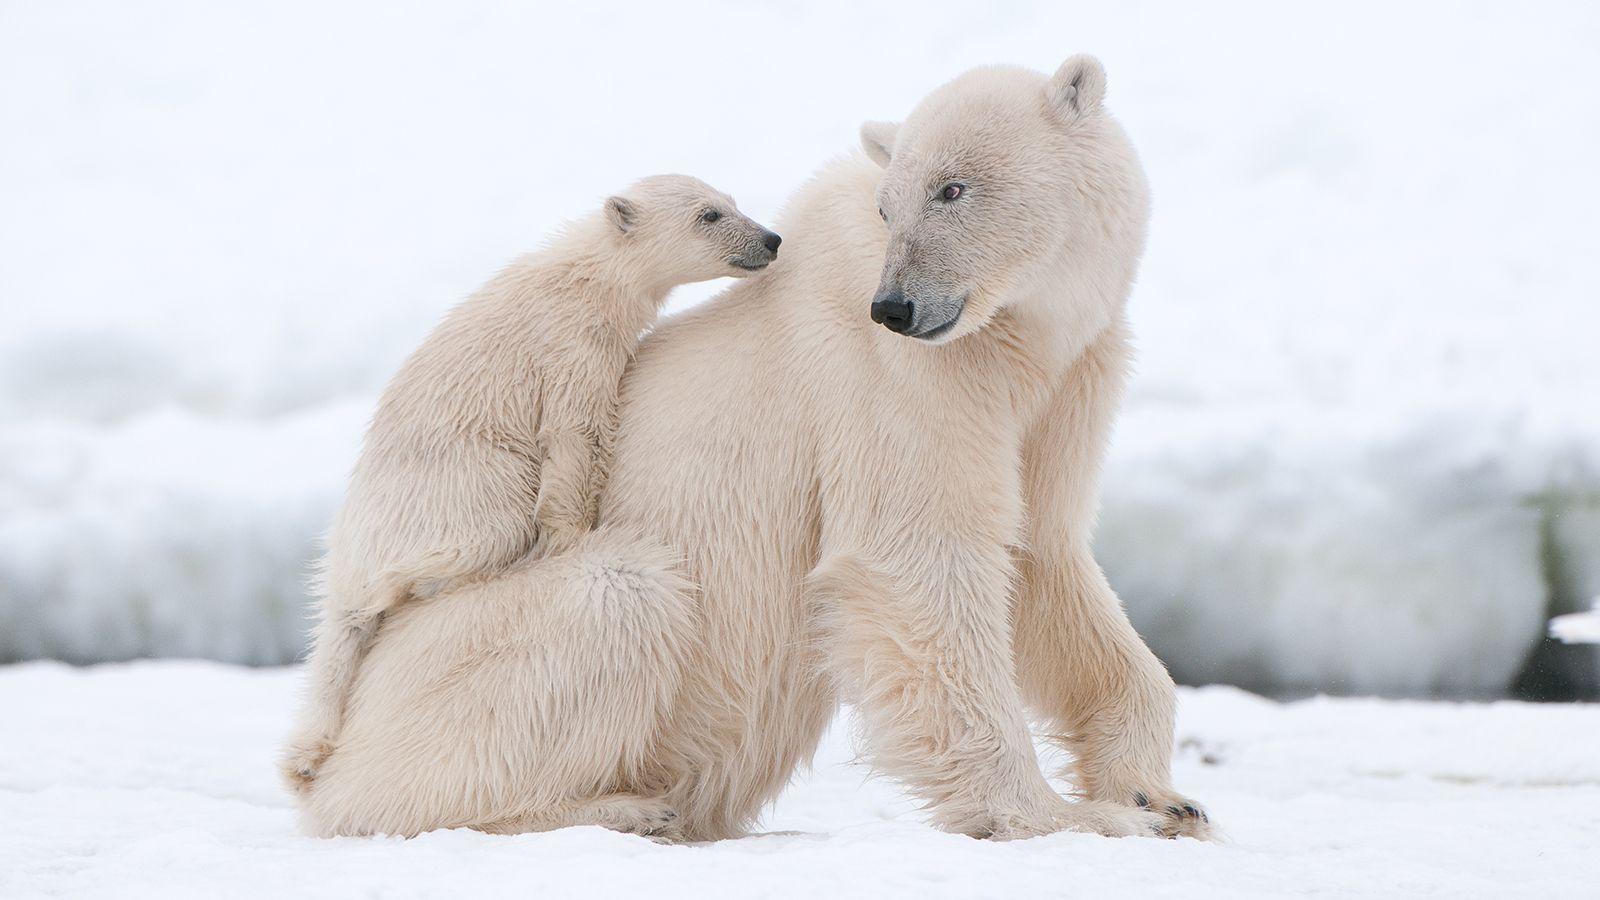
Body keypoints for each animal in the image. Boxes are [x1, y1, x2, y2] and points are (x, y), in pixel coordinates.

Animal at [278, 175, 781, 793]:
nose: (771, 238)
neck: (587, 276)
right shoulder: (570, 347)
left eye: (732, 202)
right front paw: (572, 536)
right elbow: (574, 434)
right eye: (709, 215)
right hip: (458, 487)